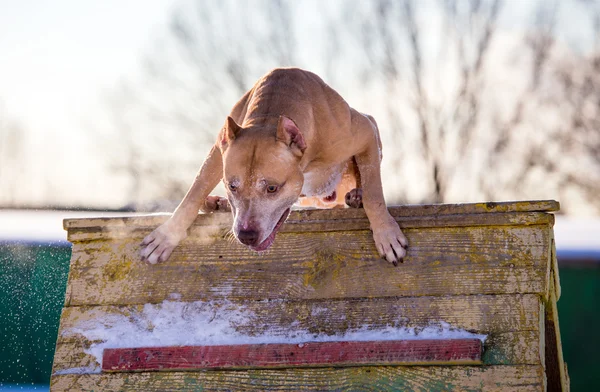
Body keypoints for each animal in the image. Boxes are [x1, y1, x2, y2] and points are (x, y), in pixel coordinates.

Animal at [139, 69, 408, 264]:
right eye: (232, 186)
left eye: (272, 188)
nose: (247, 235)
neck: (268, 117)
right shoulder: (218, 151)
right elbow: (195, 190)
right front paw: (166, 236)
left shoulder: (366, 132)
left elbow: (375, 192)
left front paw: (386, 234)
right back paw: (216, 203)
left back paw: (356, 195)